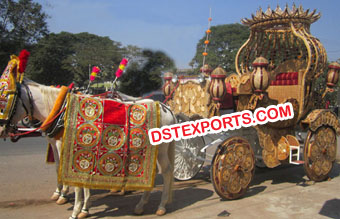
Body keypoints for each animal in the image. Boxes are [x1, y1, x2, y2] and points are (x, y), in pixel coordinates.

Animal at [2, 79, 177, 218]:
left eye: (5, 100)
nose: (2, 129)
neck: (62, 113)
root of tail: (166, 108)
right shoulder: (69, 147)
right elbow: (70, 173)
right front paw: (79, 205)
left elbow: (75, 179)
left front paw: (77, 208)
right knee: (153, 171)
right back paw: (140, 205)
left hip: (161, 149)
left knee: (167, 171)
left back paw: (161, 206)